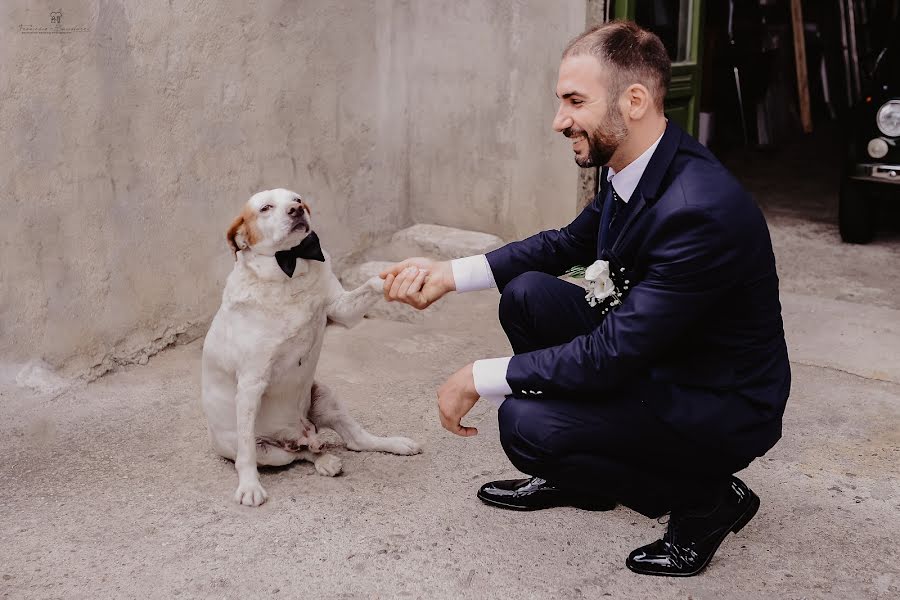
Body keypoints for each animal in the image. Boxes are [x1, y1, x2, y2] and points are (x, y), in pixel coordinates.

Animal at [200, 189, 422, 506]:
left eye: (296, 199)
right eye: (265, 208)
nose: (296, 211)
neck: (288, 270)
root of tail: (301, 433)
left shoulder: (342, 310)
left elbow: (372, 283)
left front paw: (403, 278)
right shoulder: (252, 384)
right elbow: (247, 453)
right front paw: (249, 486)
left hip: (325, 397)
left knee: (353, 441)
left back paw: (388, 445)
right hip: (272, 453)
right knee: (296, 454)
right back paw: (321, 459)